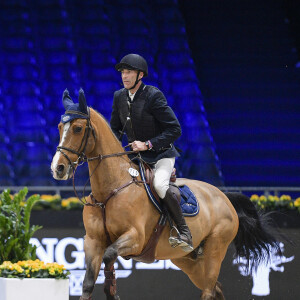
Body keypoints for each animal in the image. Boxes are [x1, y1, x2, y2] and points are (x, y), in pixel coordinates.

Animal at [51, 89, 282, 300]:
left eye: (78, 128)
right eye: (60, 127)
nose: (58, 168)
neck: (110, 190)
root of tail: (224, 197)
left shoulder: (134, 238)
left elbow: (109, 256)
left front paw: (112, 292)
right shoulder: (93, 241)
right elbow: (89, 283)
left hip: (215, 249)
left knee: (209, 290)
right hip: (187, 259)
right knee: (216, 288)